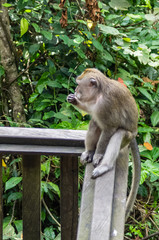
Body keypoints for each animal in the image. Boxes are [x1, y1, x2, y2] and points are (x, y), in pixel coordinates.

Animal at [67, 68, 140, 219]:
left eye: (79, 83)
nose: (76, 90)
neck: (100, 93)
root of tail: (135, 132)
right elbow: (91, 112)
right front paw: (74, 100)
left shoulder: (106, 105)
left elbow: (109, 129)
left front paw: (98, 155)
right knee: (94, 123)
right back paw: (89, 151)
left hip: (127, 138)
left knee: (118, 134)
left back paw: (104, 166)